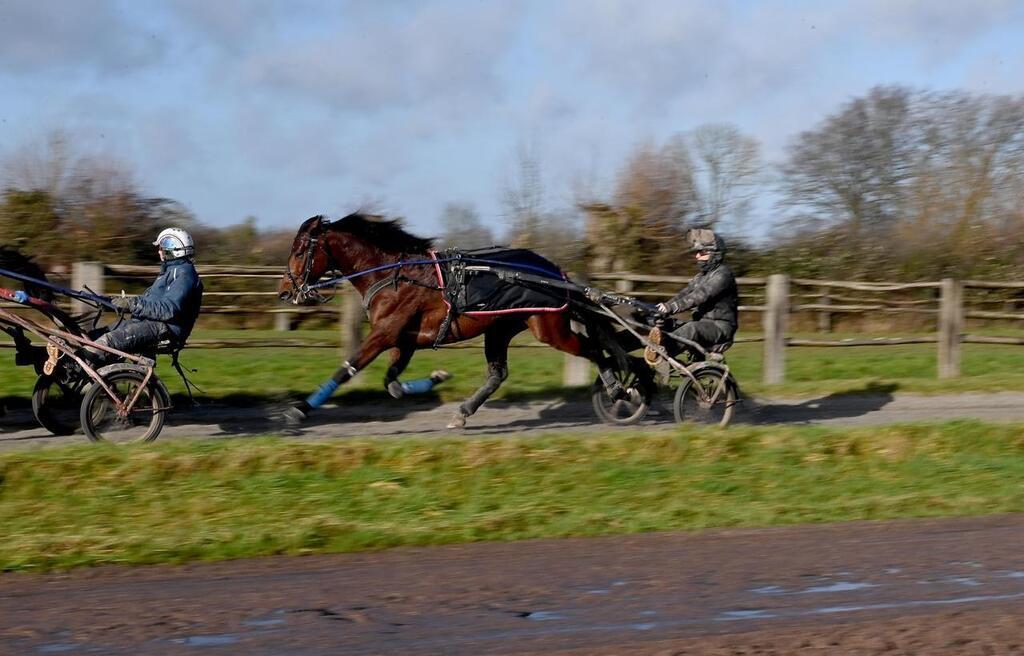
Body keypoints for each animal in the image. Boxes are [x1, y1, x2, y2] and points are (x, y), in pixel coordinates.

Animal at [276, 212, 634, 427]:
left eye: (299, 250)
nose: (284, 290)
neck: (393, 275)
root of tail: (555, 272)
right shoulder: (404, 340)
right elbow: (392, 383)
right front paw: (437, 377)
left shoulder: (384, 333)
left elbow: (347, 368)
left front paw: (299, 408)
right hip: (500, 328)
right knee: (498, 374)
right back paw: (463, 412)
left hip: (548, 327)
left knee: (594, 350)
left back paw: (618, 387)